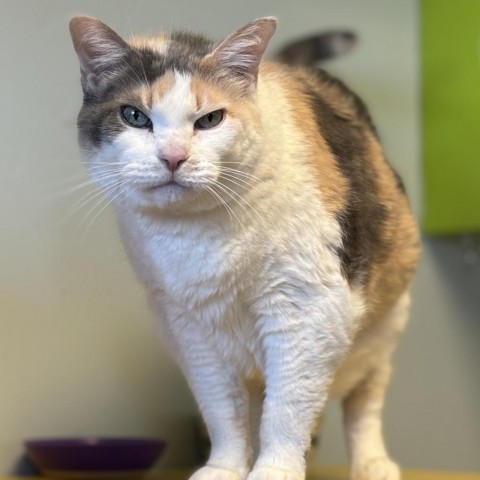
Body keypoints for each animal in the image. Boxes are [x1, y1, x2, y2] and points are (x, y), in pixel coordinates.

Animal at [68, 15, 420, 480]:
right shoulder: (192, 333)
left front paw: (275, 470)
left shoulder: (306, 312)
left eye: (210, 119)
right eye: (134, 116)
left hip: (377, 335)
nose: (173, 157)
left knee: (362, 402)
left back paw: (372, 464)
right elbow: (222, 412)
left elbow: (287, 411)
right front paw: (224, 469)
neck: (196, 235)